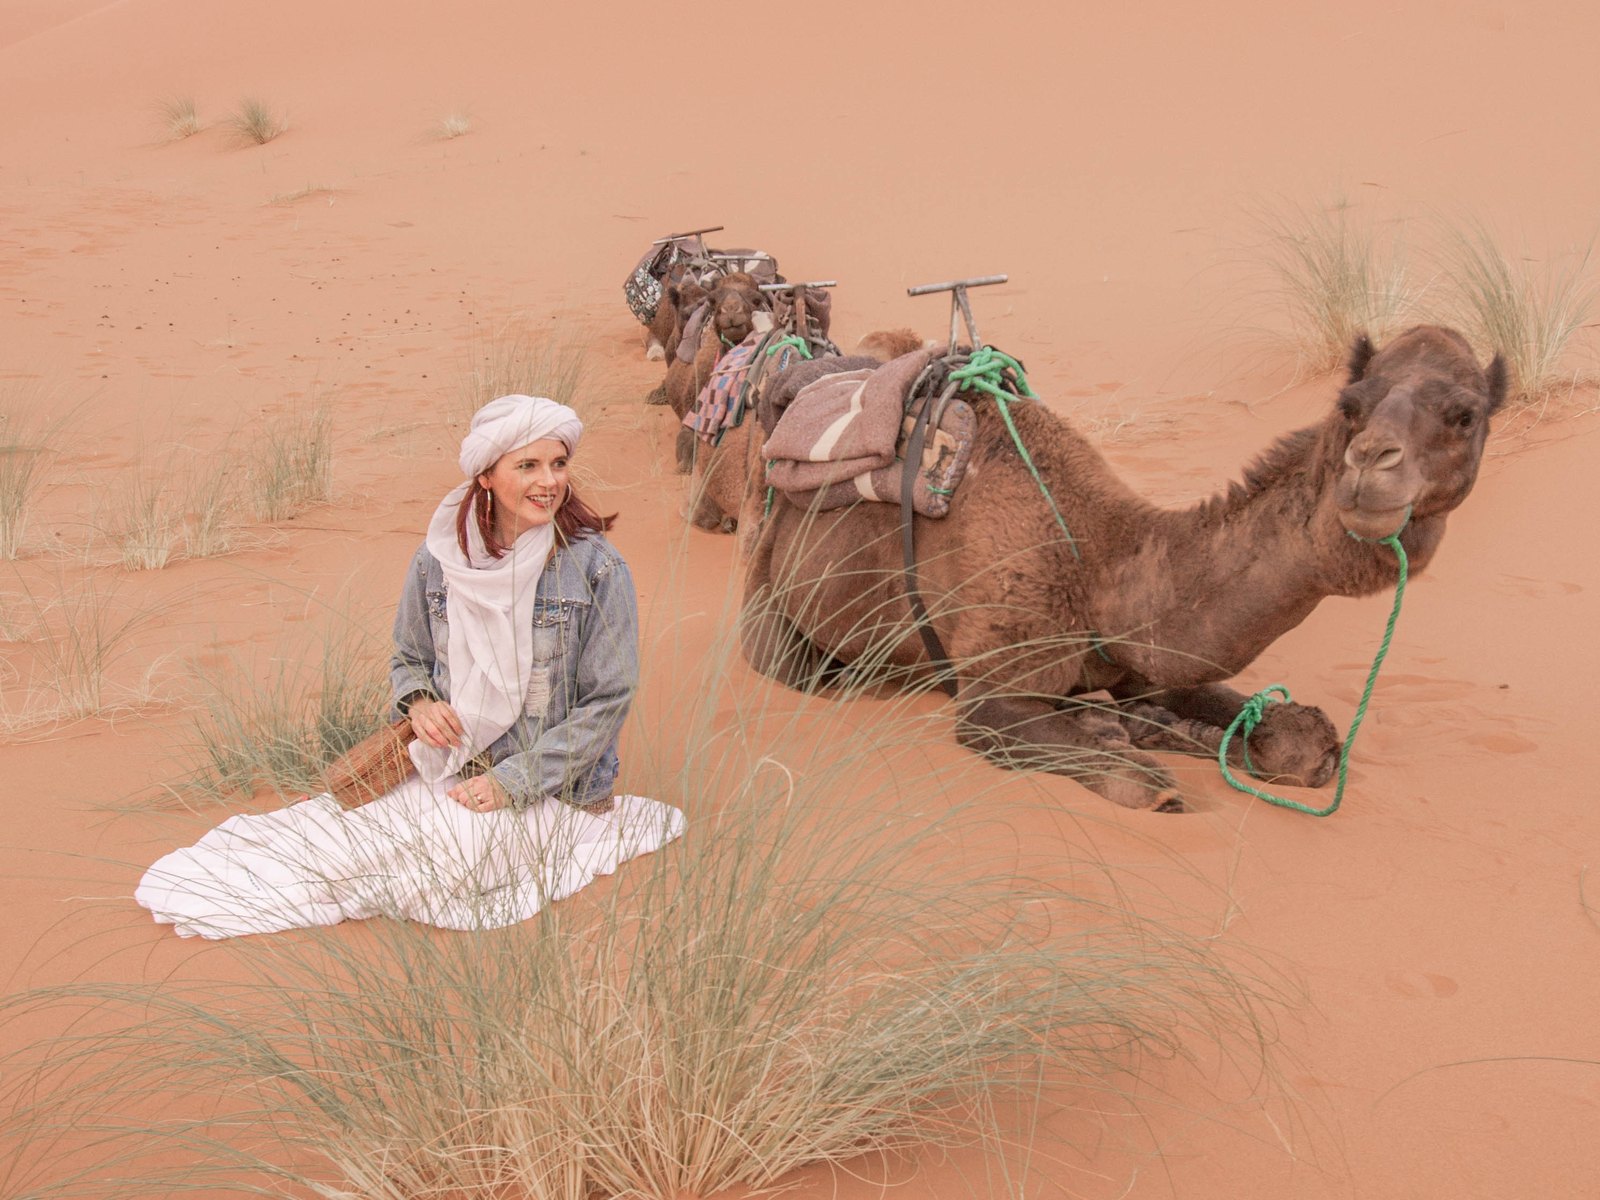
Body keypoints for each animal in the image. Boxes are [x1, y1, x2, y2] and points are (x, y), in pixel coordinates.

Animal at [740, 326, 1507, 811]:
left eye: (1466, 416)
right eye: (1351, 405)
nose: (1373, 466)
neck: (1098, 563)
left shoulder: (1143, 660)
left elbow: (1304, 742)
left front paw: (1204, 731)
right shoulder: (992, 688)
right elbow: (1146, 785)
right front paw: (1133, 742)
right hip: (767, 580)